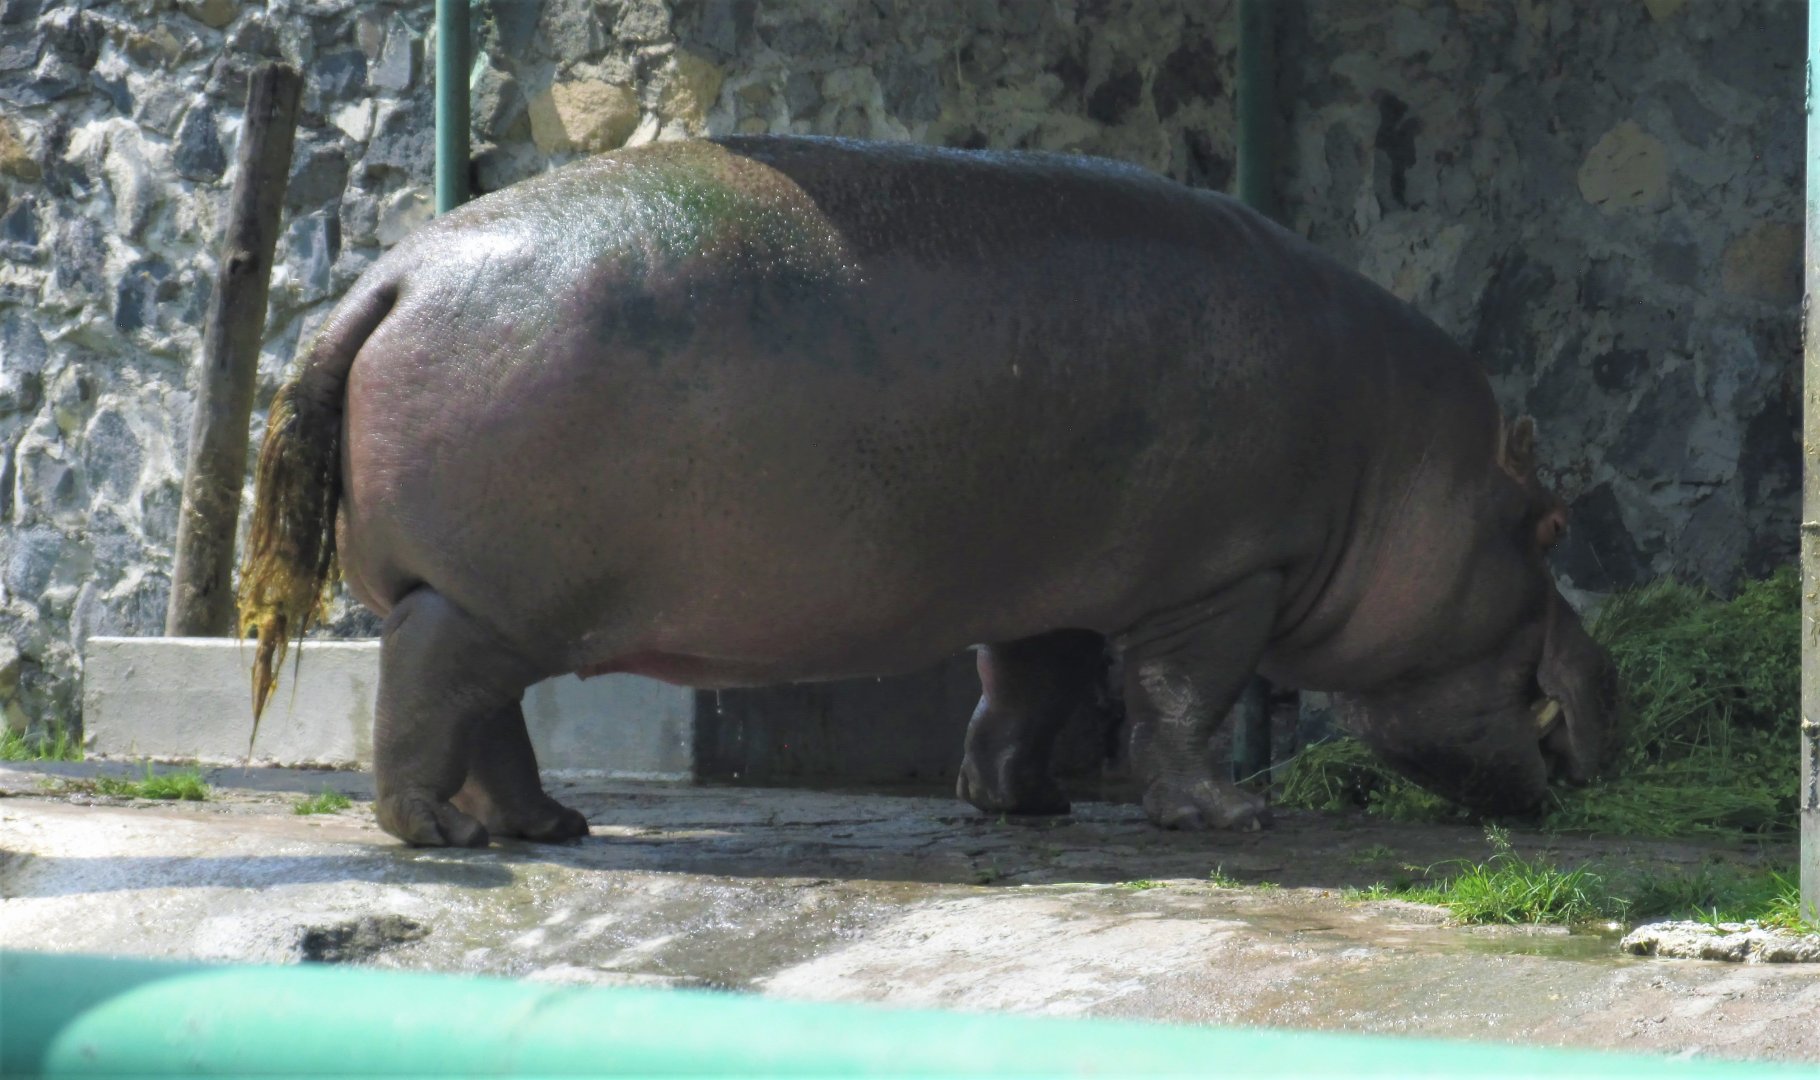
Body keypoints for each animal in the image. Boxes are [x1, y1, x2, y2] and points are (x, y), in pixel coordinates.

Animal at [239, 135, 1621, 848]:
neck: (1394, 462)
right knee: (428, 699)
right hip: (482, 598)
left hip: (496, 598)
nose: (1611, 684)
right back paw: (439, 834)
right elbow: (1180, 701)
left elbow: (1023, 692)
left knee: (492, 717)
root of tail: (395, 272)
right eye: (1550, 524)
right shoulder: (1225, 577)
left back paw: (549, 826)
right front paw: (1229, 815)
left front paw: (1024, 803)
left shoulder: (1053, 586)